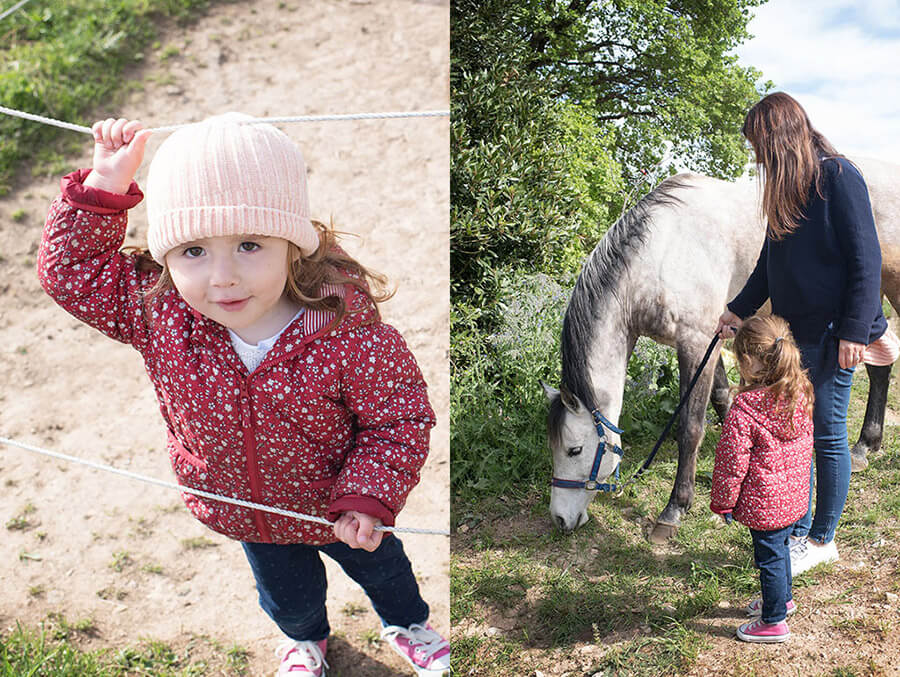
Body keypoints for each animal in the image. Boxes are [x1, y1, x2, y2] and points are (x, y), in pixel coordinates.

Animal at [544, 156, 896, 540]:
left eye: (575, 450)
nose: (559, 519)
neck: (662, 252)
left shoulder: (696, 345)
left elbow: (690, 426)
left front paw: (675, 508)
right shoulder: (712, 339)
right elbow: (722, 397)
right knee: (880, 367)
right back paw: (865, 445)